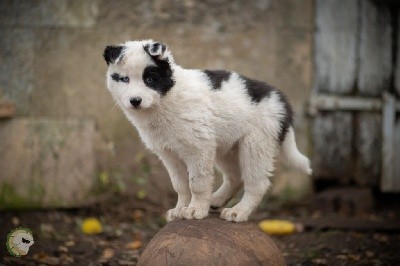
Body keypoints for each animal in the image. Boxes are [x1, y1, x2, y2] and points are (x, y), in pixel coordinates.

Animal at [103, 39, 312, 222]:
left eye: (150, 79)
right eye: (124, 79)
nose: (135, 101)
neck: (167, 97)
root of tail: (282, 102)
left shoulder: (199, 147)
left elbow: (197, 183)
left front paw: (195, 210)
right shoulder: (169, 154)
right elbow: (180, 185)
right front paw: (180, 209)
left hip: (256, 145)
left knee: (257, 184)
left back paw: (238, 212)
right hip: (227, 147)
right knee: (235, 178)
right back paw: (216, 200)